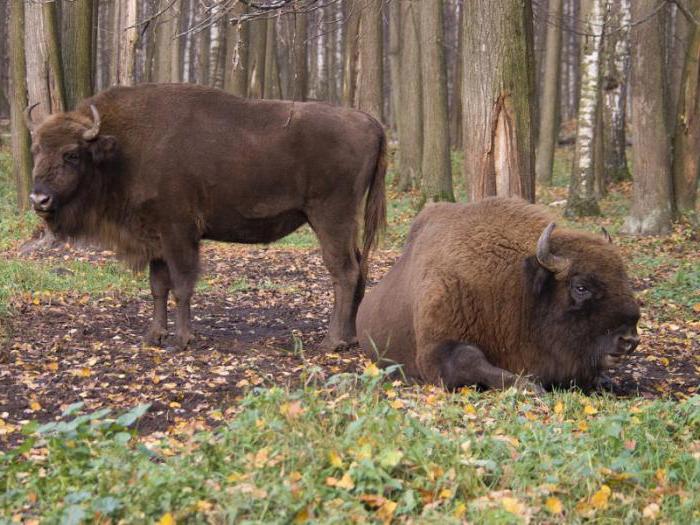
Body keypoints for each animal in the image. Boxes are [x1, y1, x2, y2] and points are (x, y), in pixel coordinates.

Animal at [27, 84, 386, 350]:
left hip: (330, 216)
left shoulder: (179, 233)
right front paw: (154, 336)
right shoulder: (155, 238)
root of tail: (370, 121)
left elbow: (182, 285)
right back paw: (351, 338)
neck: (123, 151)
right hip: (342, 221)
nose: (39, 199)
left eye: (72, 154)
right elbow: (158, 286)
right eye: (37, 150)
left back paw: (331, 342)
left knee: (344, 271)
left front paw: (183, 339)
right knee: (359, 267)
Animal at [358, 196, 644, 388]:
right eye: (580, 287)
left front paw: (607, 382)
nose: (629, 339)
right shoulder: (436, 351)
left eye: (623, 277)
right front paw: (530, 387)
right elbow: (470, 360)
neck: (518, 285)